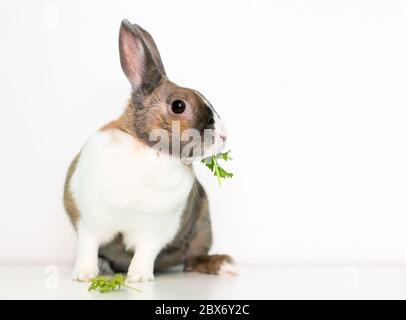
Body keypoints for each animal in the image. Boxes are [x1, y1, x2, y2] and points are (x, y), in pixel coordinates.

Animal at [63, 19, 235, 282]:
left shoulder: (156, 231)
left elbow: (145, 252)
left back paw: (223, 265)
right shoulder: (88, 222)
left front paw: (139, 277)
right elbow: (87, 247)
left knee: (193, 260)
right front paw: (84, 275)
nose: (224, 136)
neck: (150, 150)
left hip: (202, 230)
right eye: (178, 105)